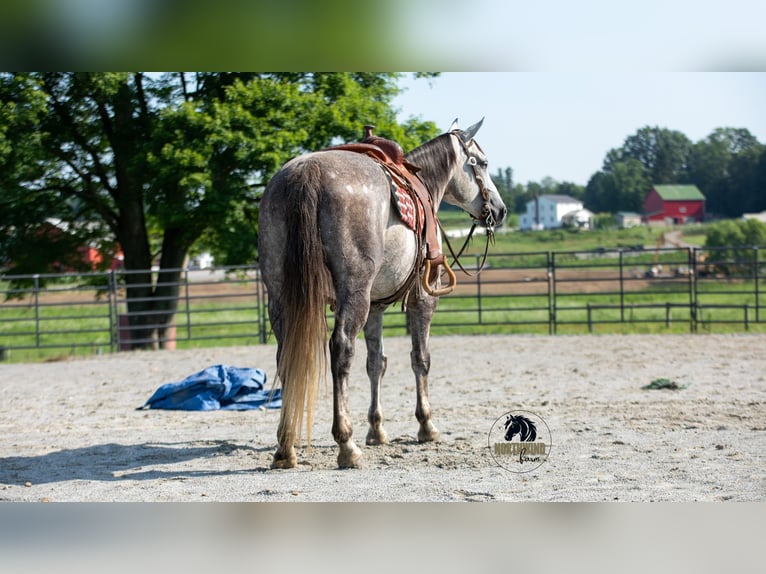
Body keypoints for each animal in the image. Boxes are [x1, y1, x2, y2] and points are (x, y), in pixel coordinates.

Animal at [258, 118, 507, 468]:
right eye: (482, 163)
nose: (499, 210)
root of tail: (308, 174)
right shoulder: (422, 300)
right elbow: (420, 359)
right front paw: (426, 426)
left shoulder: (375, 307)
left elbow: (376, 362)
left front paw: (376, 429)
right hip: (354, 293)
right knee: (341, 350)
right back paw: (346, 445)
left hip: (281, 296)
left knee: (287, 356)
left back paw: (286, 447)